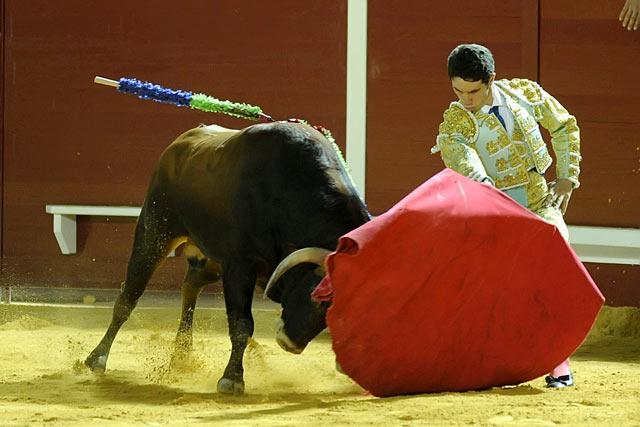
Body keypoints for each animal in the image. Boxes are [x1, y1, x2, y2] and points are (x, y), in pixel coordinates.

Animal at [84, 122, 370, 396]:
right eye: (316, 297)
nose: (290, 344)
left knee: (190, 286)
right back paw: (97, 358)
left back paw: (182, 355)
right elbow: (241, 323)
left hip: (210, 260)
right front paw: (232, 379)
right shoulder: (239, 265)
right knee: (129, 295)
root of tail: (179, 143)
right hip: (155, 232)